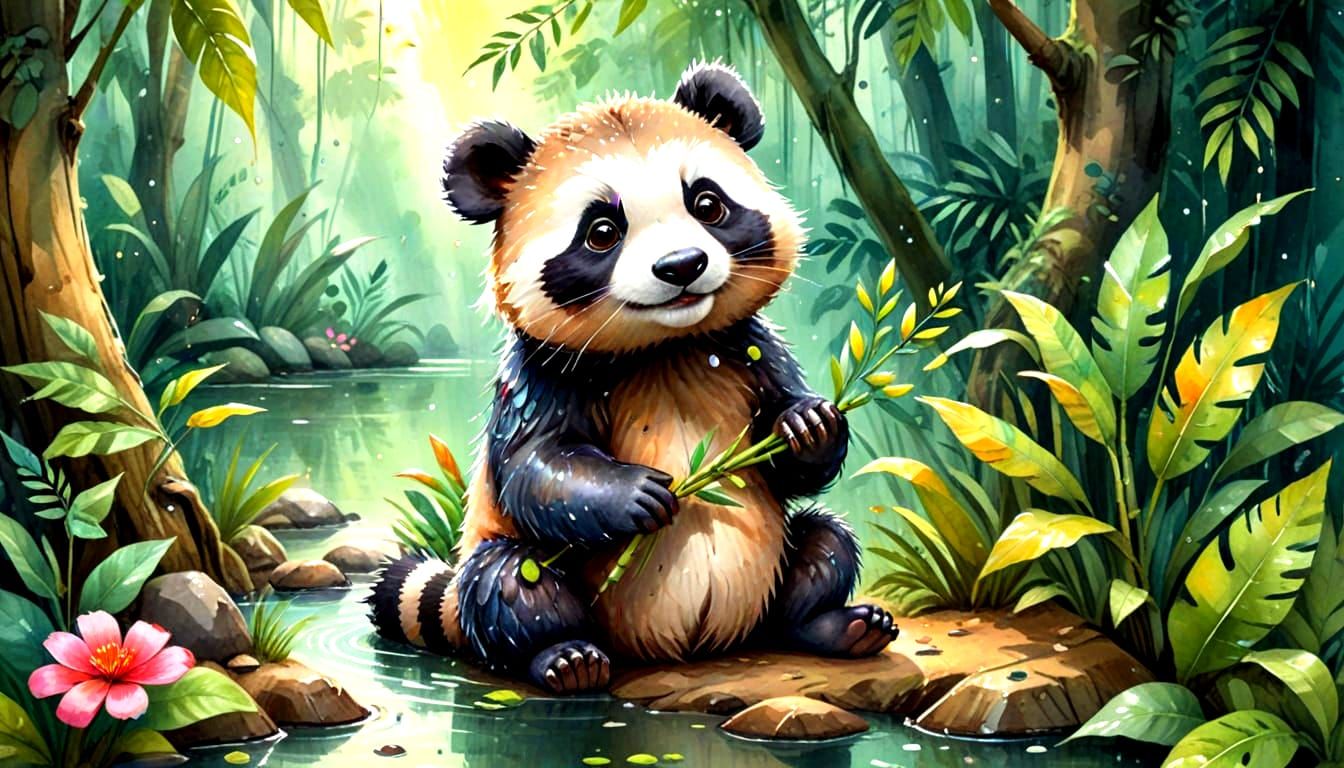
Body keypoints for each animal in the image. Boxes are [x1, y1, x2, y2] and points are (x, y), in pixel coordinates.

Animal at [368, 62, 898, 694]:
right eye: (601, 231)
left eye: (707, 203)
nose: (682, 266)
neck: (664, 348)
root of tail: (690, 647)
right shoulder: (544, 369)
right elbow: (532, 466)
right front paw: (636, 493)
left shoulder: (748, 346)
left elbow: (794, 453)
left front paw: (809, 424)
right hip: (525, 573)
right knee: (508, 583)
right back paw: (565, 659)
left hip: (774, 579)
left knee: (825, 540)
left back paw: (834, 626)